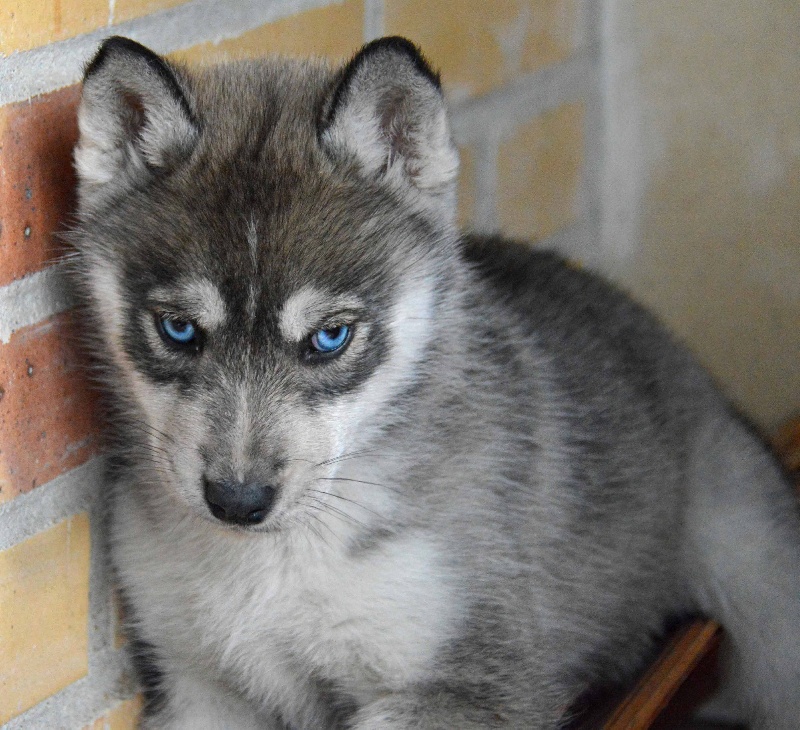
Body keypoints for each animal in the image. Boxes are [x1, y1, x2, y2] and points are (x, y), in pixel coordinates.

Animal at [70, 35, 800, 728]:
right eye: (178, 330)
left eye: (329, 338)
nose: (238, 501)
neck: (278, 561)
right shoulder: (195, 683)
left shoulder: (475, 683)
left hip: (757, 577)